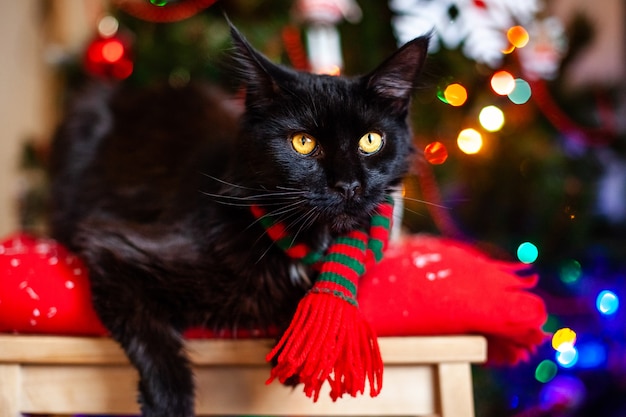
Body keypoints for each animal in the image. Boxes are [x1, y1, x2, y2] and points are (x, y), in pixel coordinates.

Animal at [48, 25, 428, 416]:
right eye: (303, 143)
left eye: (371, 140)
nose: (349, 186)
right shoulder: (110, 244)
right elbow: (152, 336)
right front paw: (169, 401)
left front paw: (292, 355)